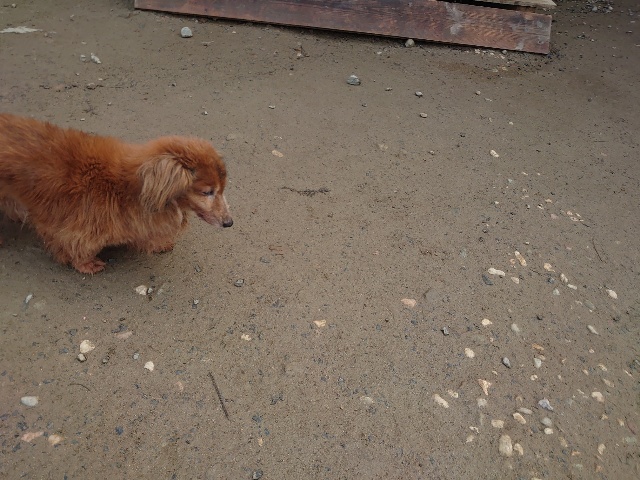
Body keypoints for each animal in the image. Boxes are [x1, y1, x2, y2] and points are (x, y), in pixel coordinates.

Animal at [0, 113, 232, 274]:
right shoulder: (78, 227)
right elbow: (75, 246)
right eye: (207, 192)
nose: (229, 223)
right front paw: (85, 263)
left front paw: (158, 243)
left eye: (222, 189)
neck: (129, 188)